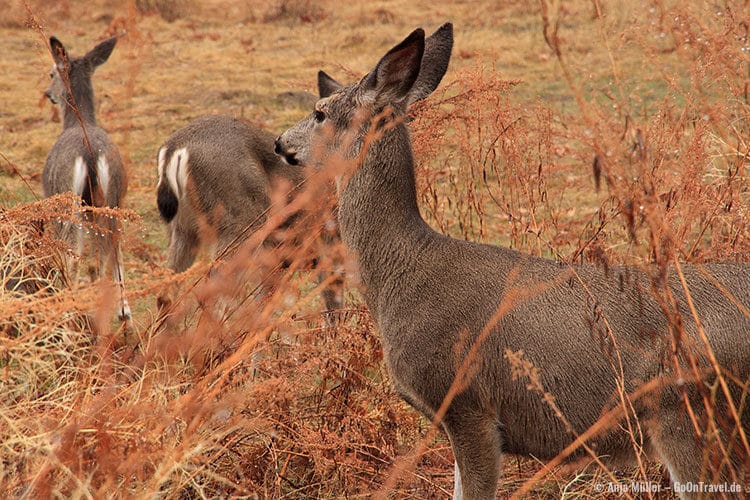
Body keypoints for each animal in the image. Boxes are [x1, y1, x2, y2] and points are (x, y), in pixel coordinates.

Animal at [44, 37, 130, 322]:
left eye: (52, 73)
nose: (48, 93)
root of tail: (90, 154)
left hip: (69, 202)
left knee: (75, 253)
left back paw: (70, 311)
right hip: (113, 199)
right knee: (113, 248)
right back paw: (122, 311)